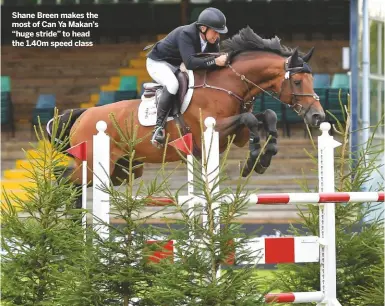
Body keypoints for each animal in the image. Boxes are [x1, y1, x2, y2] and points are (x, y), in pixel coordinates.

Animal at [48, 26, 324, 203]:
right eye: (297, 81)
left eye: (312, 79)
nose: (317, 117)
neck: (228, 84)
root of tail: (83, 116)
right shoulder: (211, 130)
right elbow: (250, 119)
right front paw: (254, 160)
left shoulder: (237, 136)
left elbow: (266, 116)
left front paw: (265, 156)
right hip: (93, 165)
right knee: (65, 182)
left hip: (122, 170)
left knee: (73, 184)